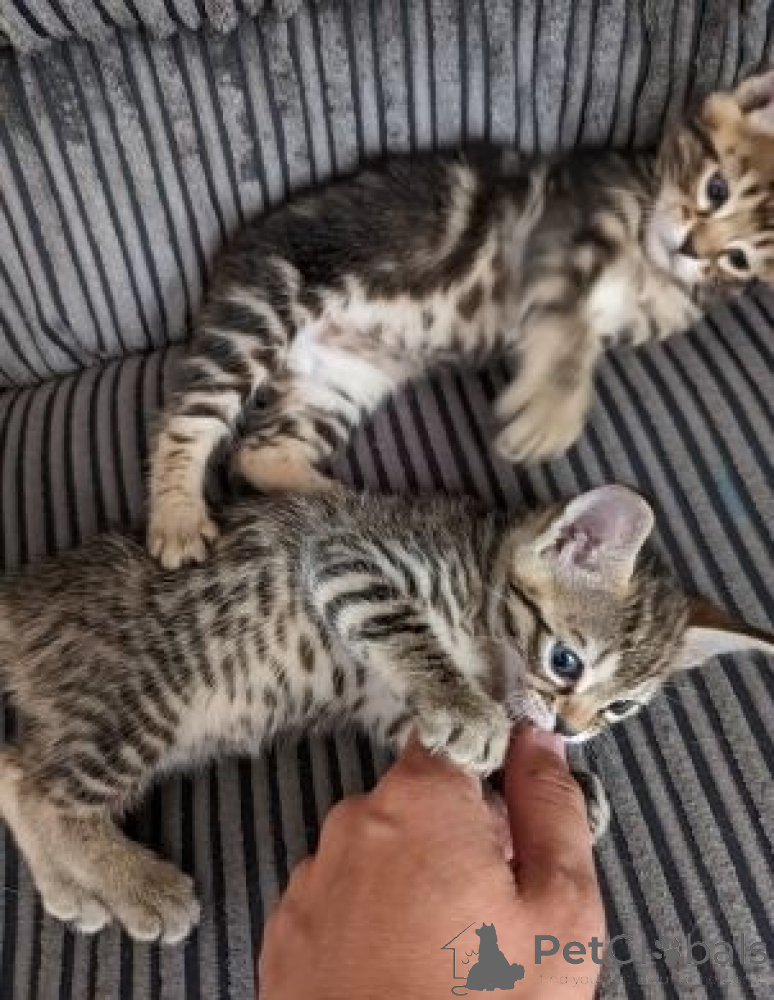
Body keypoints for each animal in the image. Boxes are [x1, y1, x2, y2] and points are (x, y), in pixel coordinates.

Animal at [0, 485, 772, 943]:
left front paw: (569, 788)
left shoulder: (395, 711)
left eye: (620, 708)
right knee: (48, 792)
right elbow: (406, 630)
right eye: (566, 662)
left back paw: (73, 891)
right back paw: (139, 887)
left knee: (15, 770)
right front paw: (475, 715)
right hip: (136, 702)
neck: (481, 576)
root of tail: (26, 594)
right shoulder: (351, 555)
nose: (571, 730)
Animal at [144, 69, 774, 568]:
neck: (650, 262)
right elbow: (568, 329)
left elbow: (585, 334)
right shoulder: (568, 227)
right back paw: (177, 517)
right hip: (265, 302)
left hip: (342, 380)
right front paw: (550, 413)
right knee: (188, 419)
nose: (692, 248)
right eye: (716, 187)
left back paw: (345, 502)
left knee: (260, 452)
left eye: (740, 258)